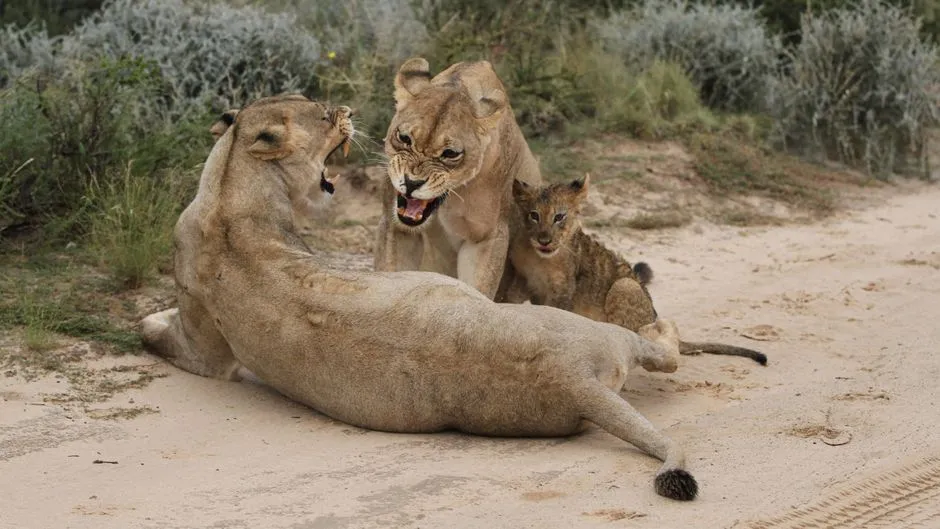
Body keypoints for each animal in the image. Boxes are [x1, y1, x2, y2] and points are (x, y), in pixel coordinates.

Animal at [139, 94, 698, 501]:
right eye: (322, 114)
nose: (346, 109)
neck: (229, 187)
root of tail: (576, 383)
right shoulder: (210, 356)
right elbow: (155, 334)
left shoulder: (211, 351)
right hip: (596, 334)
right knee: (663, 350)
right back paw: (662, 327)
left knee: (663, 351)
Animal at [373, 58, 542, 299]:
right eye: (404, 138)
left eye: (450, 153)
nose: (412, 183)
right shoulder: (396, 227)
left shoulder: (485, 237)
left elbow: (476, 290)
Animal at [498, 175, 767, 365]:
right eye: (534, 215)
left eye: (559, 217)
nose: (544, 240)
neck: (540, 259)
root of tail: (654, 317)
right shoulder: (522, 278)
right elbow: (512, 299)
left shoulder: (564, 288)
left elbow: (556, 314)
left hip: (625, 285)